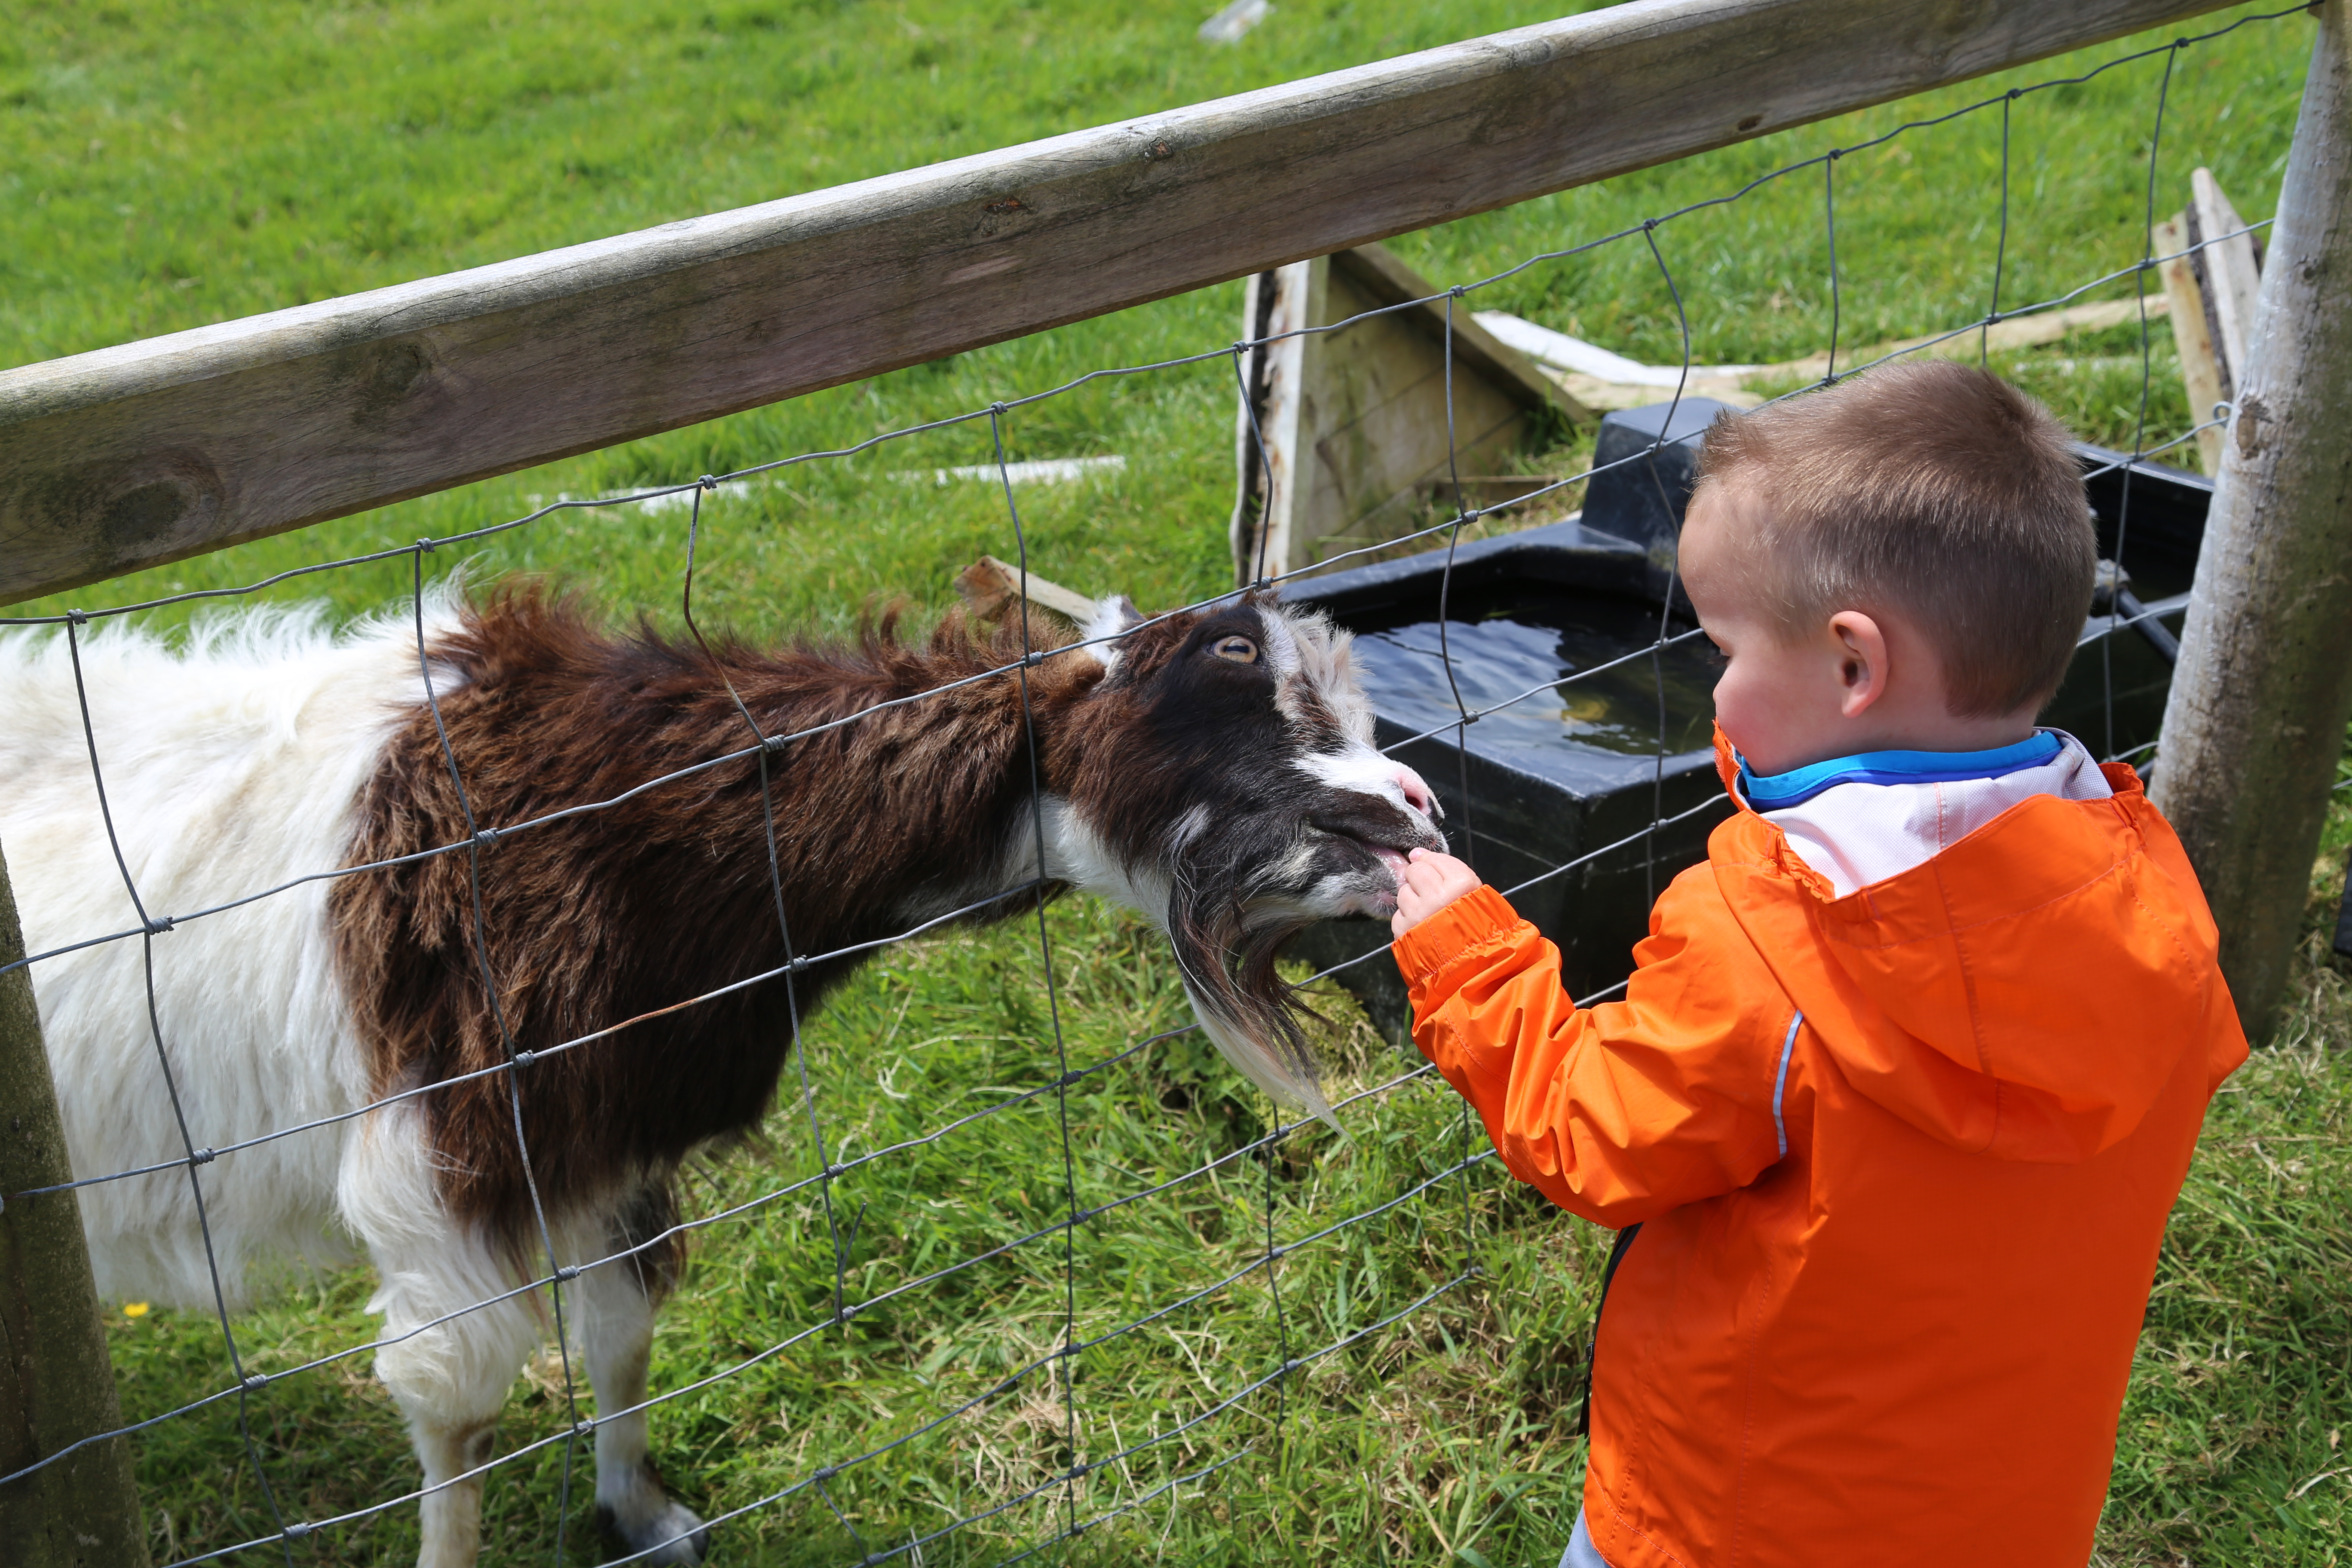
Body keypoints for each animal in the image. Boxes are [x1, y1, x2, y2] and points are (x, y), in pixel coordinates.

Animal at [0, 585, 1439, 1568]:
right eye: (1228, 677)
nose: (1418, 806)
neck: (618, 830)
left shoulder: (615, 1132)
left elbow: (624, 1333)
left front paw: (640, 1512)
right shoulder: (440, 1166)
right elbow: (456, 1407)